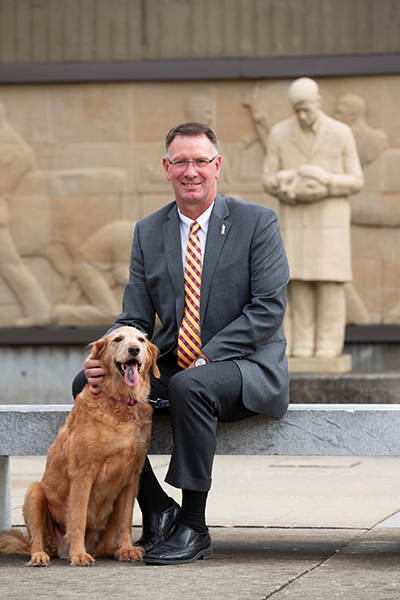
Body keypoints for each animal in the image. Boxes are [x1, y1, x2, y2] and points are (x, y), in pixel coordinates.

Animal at [0, 328, 159, 568]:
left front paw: (127, 549)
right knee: (37, 539)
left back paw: (112, 549)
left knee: (106, 542)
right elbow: (78, 518)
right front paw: (79, 554)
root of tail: (56, 549)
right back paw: (40, 555)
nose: (134, 349)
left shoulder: (132, 477)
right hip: (35, 493)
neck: (120, 403)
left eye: (141, 340)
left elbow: (126, 520)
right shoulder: (83, 474)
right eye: (118, 339)